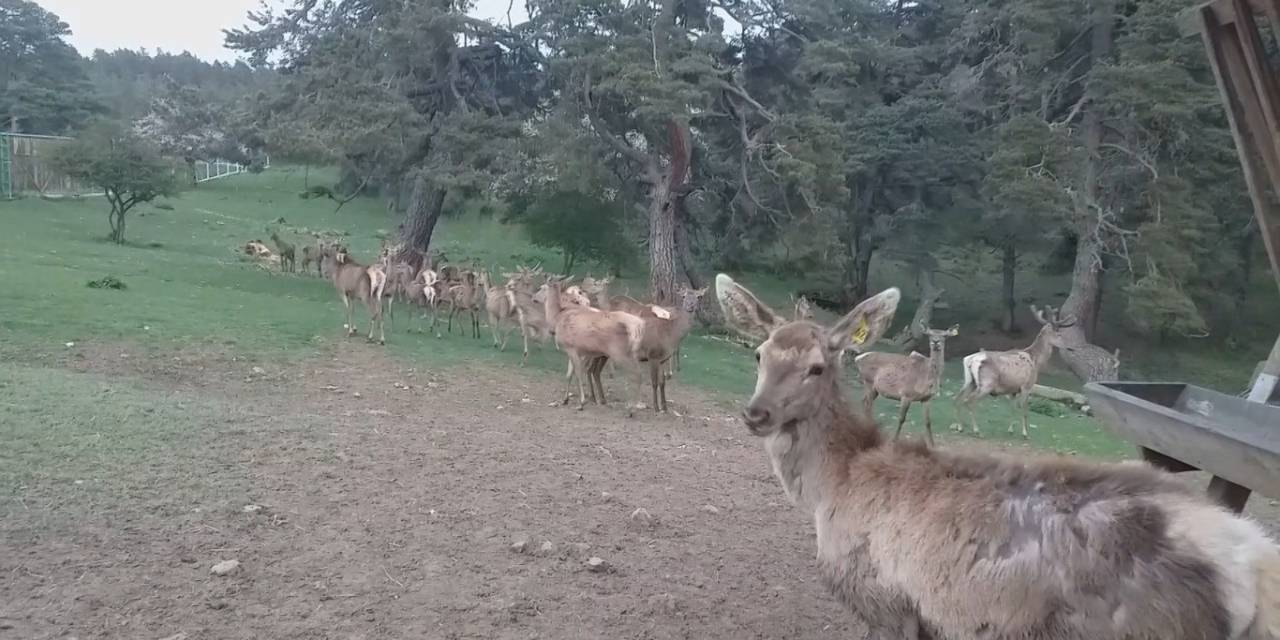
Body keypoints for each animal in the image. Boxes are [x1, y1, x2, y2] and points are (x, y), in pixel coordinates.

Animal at [957, 304, 1075, 440]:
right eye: (1059, 334)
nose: (1071, 347)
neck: (1036, 361)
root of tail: (970, 359)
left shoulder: (1013, 389)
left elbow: (1012, 408)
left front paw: (1010, 430)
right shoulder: (1027, 386)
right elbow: (1024, 410)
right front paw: (1025, 434)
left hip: (969, 381)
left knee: (958, 398)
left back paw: (960, 427)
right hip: (987, 384)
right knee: (970, 401)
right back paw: (977, 431)